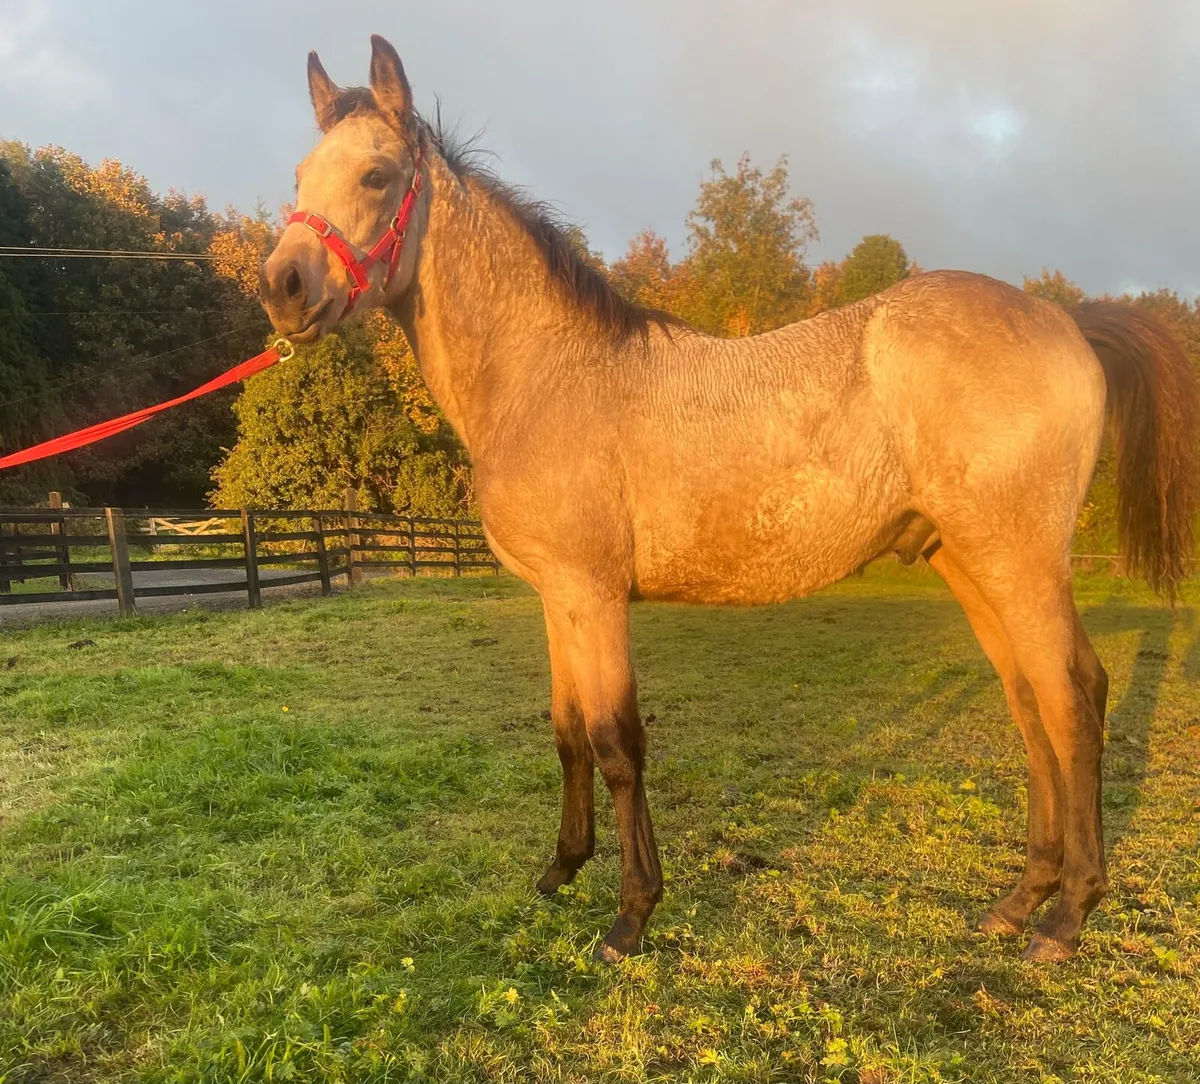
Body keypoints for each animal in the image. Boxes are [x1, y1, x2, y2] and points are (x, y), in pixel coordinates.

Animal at [258, 36, 1198, 964]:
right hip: (970, 565)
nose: (282, 288)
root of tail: (1065, 318)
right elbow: (566, 732)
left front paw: (632, 915)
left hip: (1021, 563)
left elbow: (617, 742)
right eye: (299, 174)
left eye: (377, 175)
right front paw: (561, 869)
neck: (548, 376)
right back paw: (1019, 900)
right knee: (1030, 704)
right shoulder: (558, 598)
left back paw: (1067, 916)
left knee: (1074, 701)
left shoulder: (594, 596)